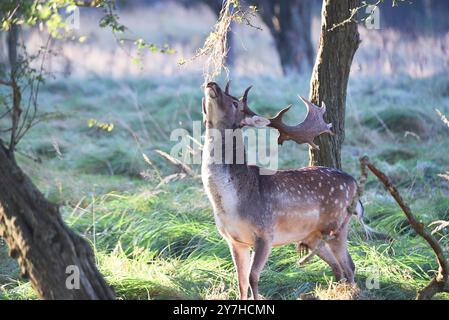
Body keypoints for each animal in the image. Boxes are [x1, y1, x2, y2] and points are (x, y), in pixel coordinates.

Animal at [201, 80, 366, 300]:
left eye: (235, 103)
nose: (212, 83)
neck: (231, 203)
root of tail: (354, 183)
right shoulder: (234, 240)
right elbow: (240, 281)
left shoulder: (265, 233)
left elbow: (253, 277)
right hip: (312, 236)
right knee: (337, 267)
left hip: (337, 225)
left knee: (349, 266)